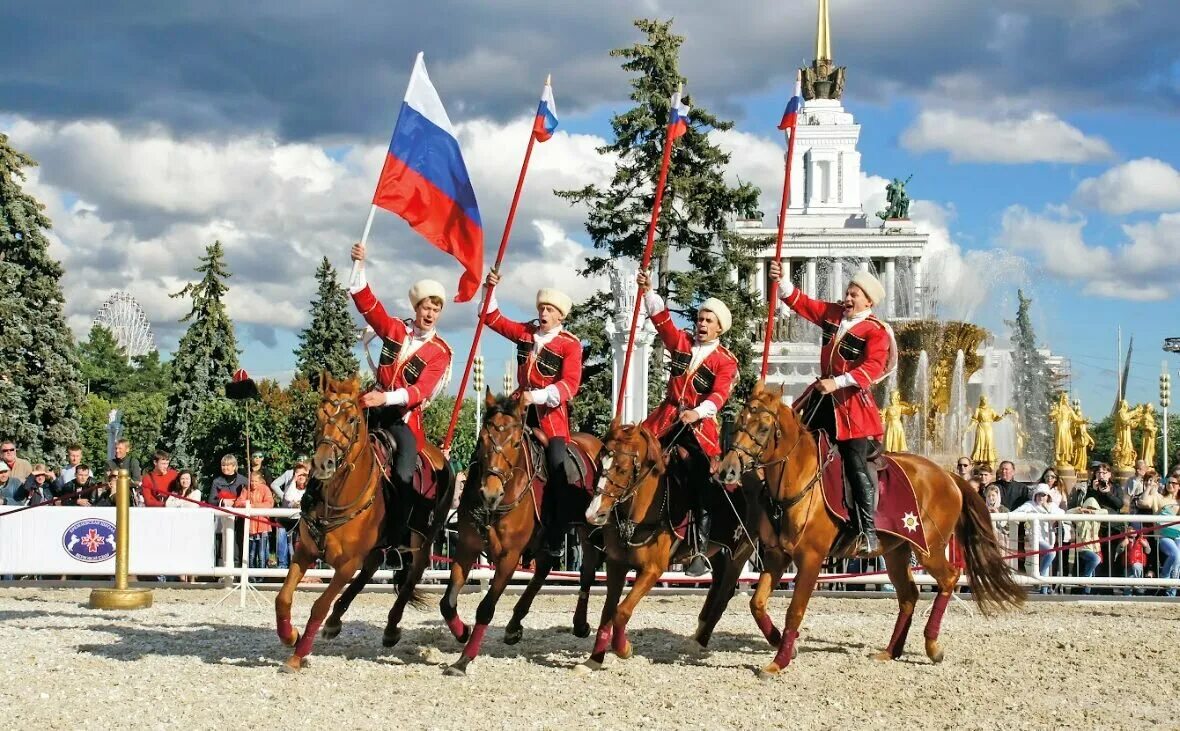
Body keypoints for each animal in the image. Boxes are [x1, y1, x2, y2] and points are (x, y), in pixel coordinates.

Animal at [273, 377, 453, 675]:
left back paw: (390, 628)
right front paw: (291, 636)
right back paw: (335, 621)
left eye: (351, 418)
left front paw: (297, 656)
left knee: (411, 576)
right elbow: (283, 598)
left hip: (423, 541)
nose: (322, 463)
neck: (337, 498)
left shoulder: (346, 565)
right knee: (371, 568)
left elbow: (319, 606)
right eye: (319, 415)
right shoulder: (305, 552)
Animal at [443, 394, 608, 680]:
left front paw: (464, 660)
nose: (490, 493)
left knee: (587, 569)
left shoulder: (509, 558)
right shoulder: (466, 547)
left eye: (516, 443)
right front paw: (462, 632)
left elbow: (485, 609)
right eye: (482, 439)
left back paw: (579, 624)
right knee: (544, 569)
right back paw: (514, 625)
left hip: (587, 529)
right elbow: (447, 602)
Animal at [580, 420, 755, 670]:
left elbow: (621, 611)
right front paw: (594, 660)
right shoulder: (616, 564)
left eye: (622, 469)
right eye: (598, 464)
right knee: (718, 586)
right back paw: (699, 632)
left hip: (740, 553)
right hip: (720, 552)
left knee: (725, 593)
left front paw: (624, 648)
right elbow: (608, 610)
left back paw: (701, 640)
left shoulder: (653, 570)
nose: (594, 514)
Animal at [712, 382, 1019, 680]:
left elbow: (795, 611)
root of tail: (948, 475)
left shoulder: (811, 559)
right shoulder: (777, 555)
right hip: (896, 552)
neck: (798, 479)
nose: (728, 471)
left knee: (949, 578)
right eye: (738, 422)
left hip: (929, 549)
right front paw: (783, 645)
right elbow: (757, 603)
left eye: (763, 428)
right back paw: (891, 651)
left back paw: (932, 646)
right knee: (909, 595)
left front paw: (779, 662)